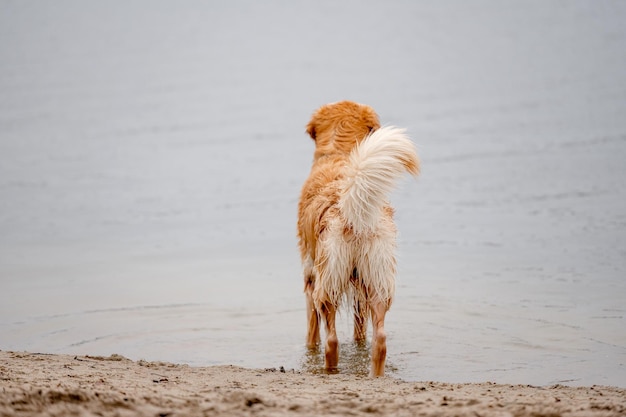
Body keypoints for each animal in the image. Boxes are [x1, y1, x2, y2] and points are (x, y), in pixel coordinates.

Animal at [294, 101, 416, 376]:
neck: (339, 153)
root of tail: (352, 209)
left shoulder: (309, 275)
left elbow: (311, 332)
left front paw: (309, 350)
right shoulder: (359, 285)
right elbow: (360, 331)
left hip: (327, 284)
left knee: (331, 340)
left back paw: (329, 371)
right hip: (377, 279)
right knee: (380, 339)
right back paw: (375, 375)